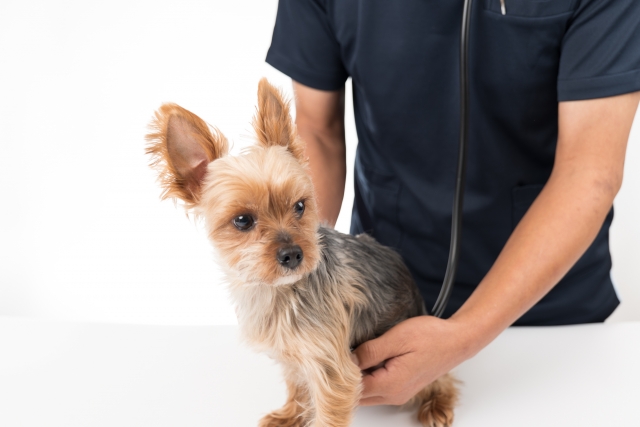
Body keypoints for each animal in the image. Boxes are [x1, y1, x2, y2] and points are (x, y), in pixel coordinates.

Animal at [146, 78, 458, 426]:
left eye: (299, 206)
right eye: (242, 220)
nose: (293, 254)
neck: (279, 292)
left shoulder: (333, 370)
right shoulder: (294, 353)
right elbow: (297, 384)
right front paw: (290, 415)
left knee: (442, 377)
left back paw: (437, 404)